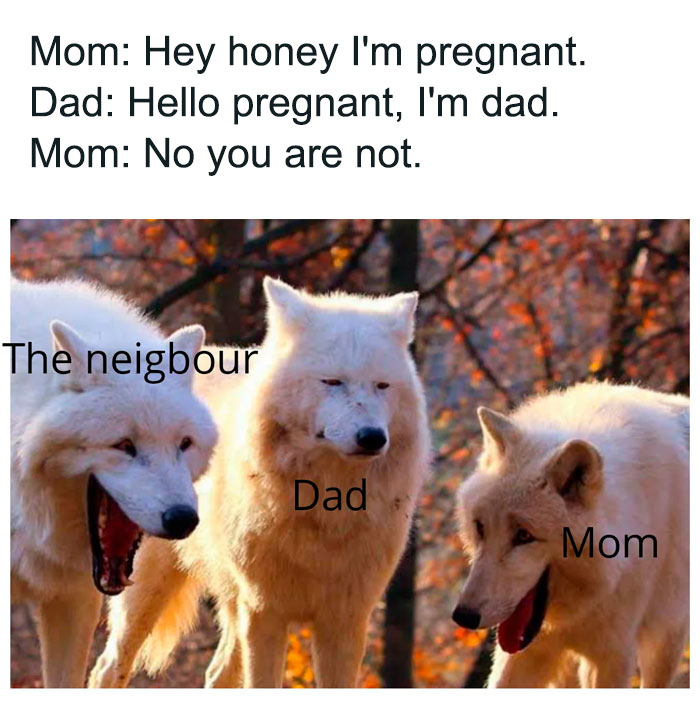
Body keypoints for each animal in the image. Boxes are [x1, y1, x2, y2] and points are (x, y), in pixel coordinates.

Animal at [89, 277, 431, 688]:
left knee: (217, 672)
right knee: (108, 668)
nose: (372, 438)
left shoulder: (346, 619)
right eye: (332, 382)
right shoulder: (264, 611)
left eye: (382, 386)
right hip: (149, 589)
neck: (326, 507)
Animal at [453, 382, 689, 688]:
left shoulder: (613, 656)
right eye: (480, 527)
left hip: (664, 642)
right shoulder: (526, 650)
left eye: (524, 536)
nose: (463, 616)